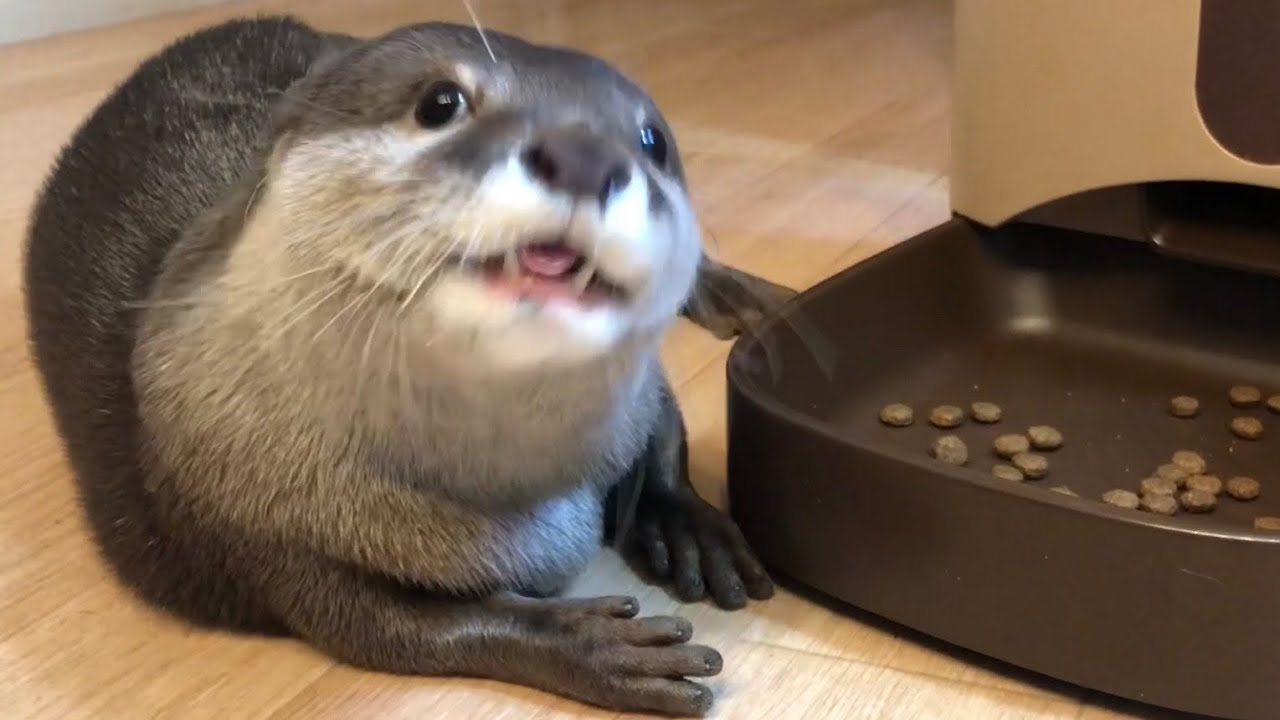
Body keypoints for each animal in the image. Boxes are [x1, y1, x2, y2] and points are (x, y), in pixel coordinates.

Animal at [22, 16, 794, 717]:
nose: (584, 154)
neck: (508, 490)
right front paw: (595, 646)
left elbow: (665, 428)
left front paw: (691, 527)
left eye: (652, 141)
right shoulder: (264, 538)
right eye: (441, 102)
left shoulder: (637, 396)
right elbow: (410, 632)